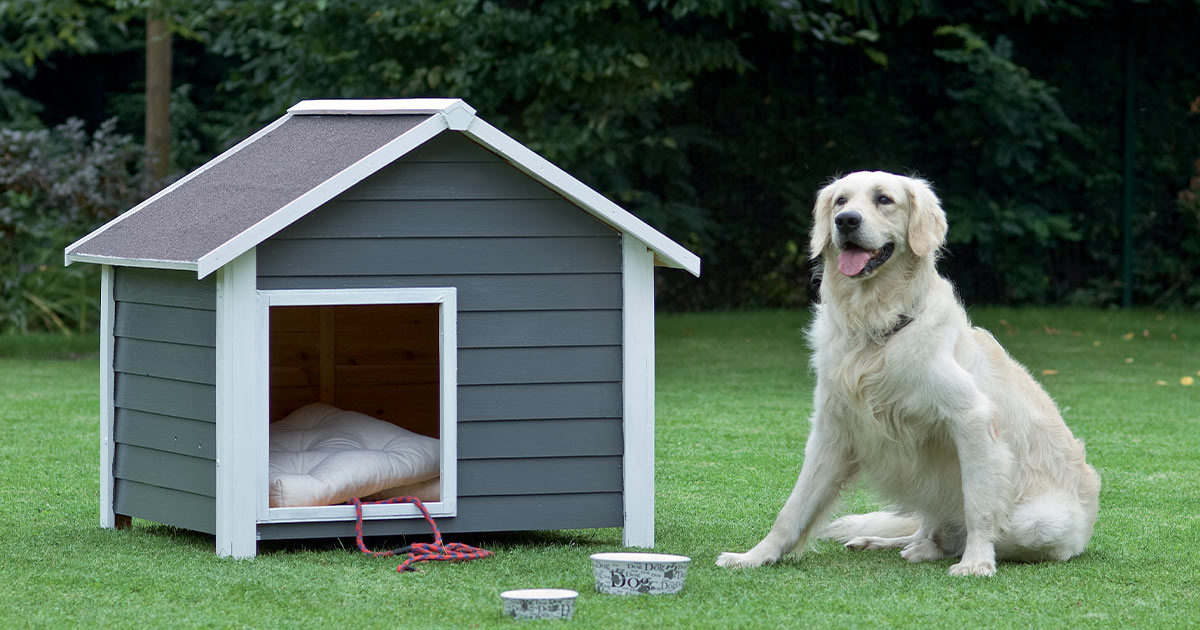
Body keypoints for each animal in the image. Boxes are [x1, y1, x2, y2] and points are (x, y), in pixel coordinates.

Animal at [715, 170, 1099, 573]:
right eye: (840, 201)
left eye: (884, 199)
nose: (846, 220)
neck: (874, 327)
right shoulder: (832, 430)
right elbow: (793, 509)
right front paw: (754, 556)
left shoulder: (971, 419)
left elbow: (979, 505)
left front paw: (977, 563)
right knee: (926, 530)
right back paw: (885, 542)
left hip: (1040, 521)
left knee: (968, 534)